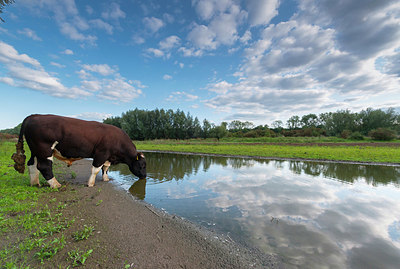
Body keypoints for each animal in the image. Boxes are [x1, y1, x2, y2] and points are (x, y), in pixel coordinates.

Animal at [11, 114, 147, 187]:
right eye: (142, 165)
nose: (145, 176)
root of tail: (34, 115)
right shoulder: (101, 153)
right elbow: (96, 169)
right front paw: (90, 183)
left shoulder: (108, 157)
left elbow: (105, 168)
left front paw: (106, 179)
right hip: (44, 150)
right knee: (44, 166)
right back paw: (55, 184)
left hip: (35, 151)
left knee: (32, 164)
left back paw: (35, 183)